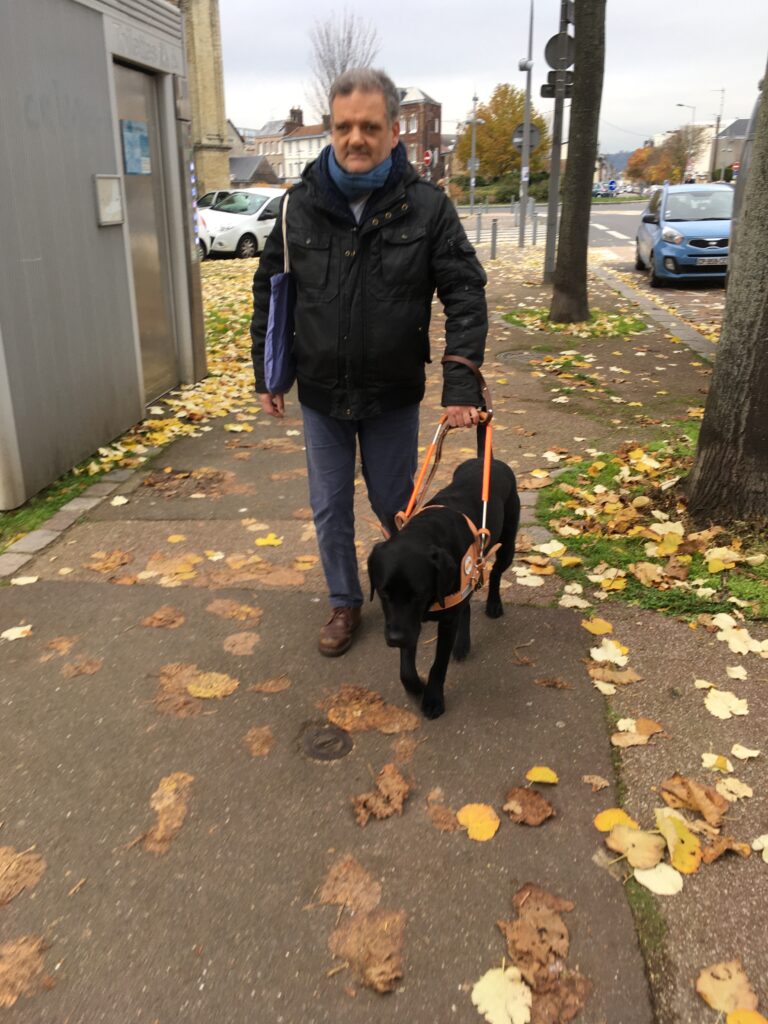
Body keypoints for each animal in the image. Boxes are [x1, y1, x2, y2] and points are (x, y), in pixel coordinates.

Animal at [368, 456, 524, 720]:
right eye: (383, 592)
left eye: (418, 594)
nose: (395, 639)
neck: (425, 532)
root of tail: (488, 459)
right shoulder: (408, 622)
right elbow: (406, 670)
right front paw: (416, 687)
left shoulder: (440, 620)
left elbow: (438, 665)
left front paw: (432, 699)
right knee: (467, 604)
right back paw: (462, 644)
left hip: (507, 545)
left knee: (494, 574)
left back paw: (493, 604)